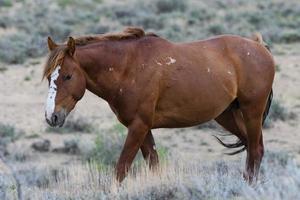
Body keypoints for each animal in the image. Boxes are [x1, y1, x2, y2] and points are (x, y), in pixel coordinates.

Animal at [42, 26, 274, 183]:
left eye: (68, 76)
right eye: (49, 77)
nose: (52, 116)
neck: (129, 67)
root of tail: (259, 46)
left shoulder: (139, 126)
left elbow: (121, 169)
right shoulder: (143, 128)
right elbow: (153, 165)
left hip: (252, 112)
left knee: (255, 151)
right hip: (227, 115)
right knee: (253, 149)